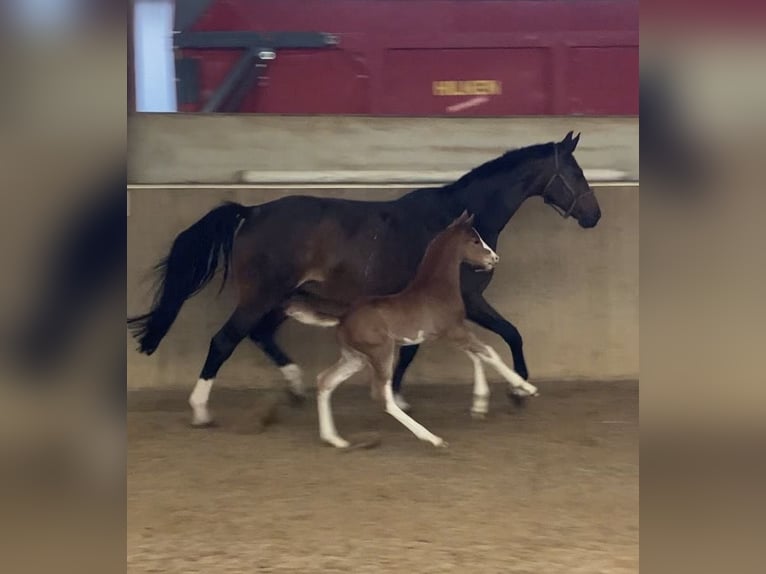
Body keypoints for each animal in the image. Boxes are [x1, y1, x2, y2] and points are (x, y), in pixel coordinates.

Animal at [309, 211, 538, 448]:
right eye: (475, 241)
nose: (494, 258)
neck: (436, 289)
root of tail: (343, 318)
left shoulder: (449, 334)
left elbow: (477, 356)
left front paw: (479, 405)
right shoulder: (455, 330)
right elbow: (489, 353)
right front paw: (526, 388)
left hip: (355, 358)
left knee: (325, 381)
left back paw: (334, 439)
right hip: (380, 353)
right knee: (382, 396)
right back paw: (432, 438)